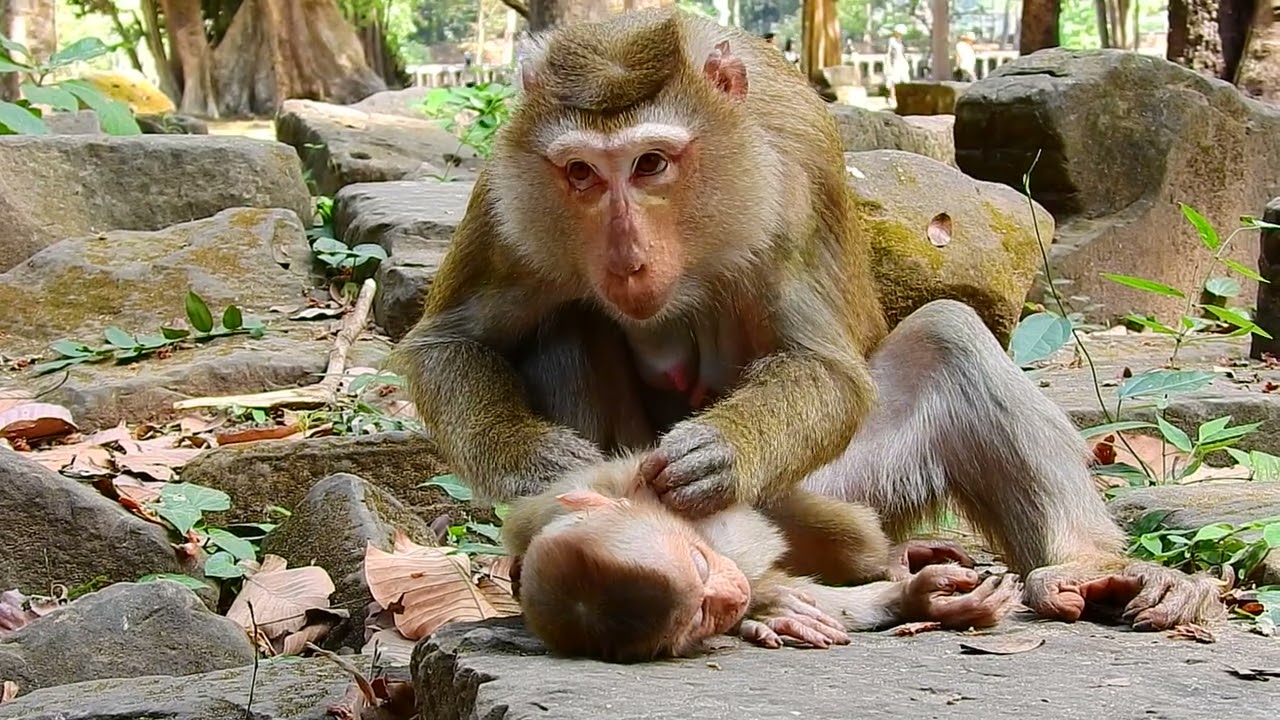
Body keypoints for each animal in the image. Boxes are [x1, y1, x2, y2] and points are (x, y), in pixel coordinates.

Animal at [390, 8, 1224, 634]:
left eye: (652, 164)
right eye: (581, 175)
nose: (625, 260)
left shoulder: (785, 186)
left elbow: (826, 369)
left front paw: (722, 452)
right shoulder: (508, 193)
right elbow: (450, 340)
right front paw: (535, 461)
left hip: (861, 484)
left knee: (948, 335)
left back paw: (1085, 568)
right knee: (561, 322)